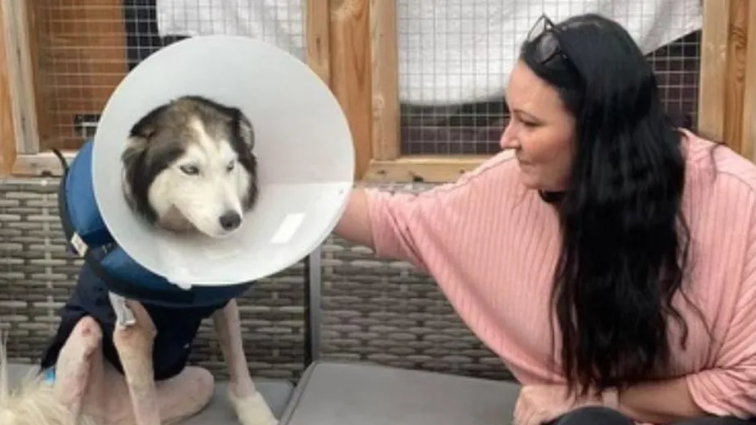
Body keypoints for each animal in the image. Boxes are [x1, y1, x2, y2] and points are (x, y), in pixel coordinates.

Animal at [8, 96, 280, 424]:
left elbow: (238, 360)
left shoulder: (223, 305)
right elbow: (145, 401)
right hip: (82, 335)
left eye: (230, 166)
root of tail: (105, 414)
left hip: (201, 381)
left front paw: (255, 411)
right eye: (189, 169)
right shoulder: (131, 330)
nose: (232, 221)